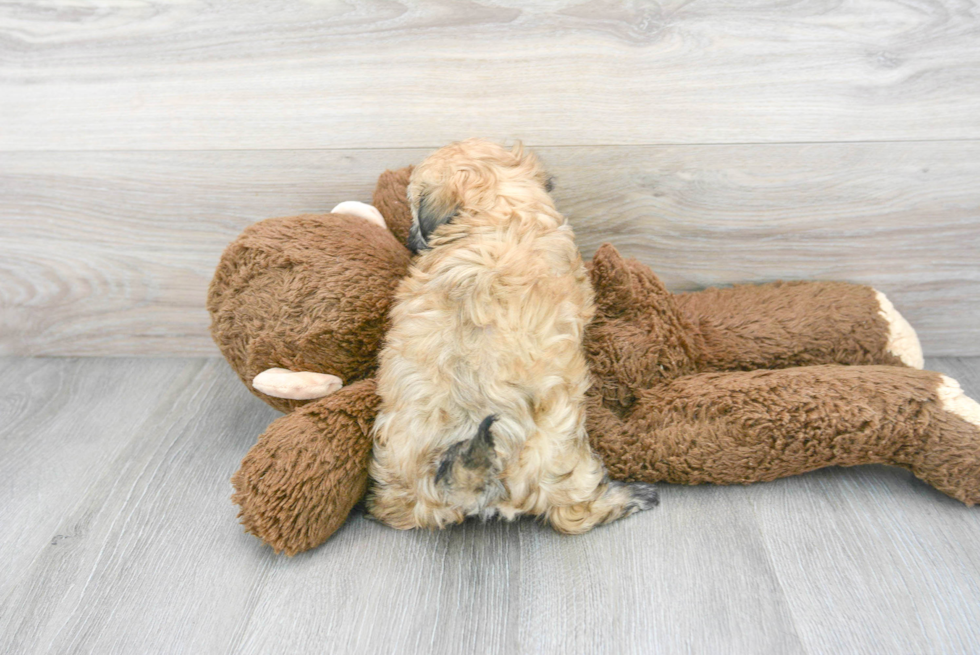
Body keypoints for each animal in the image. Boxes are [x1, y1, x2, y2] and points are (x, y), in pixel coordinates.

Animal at [368, 138, 660, 532]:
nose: (413, 239)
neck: (497, 210)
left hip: (399, 481)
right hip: (560, 458)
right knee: (576, 512)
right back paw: (631, 497)